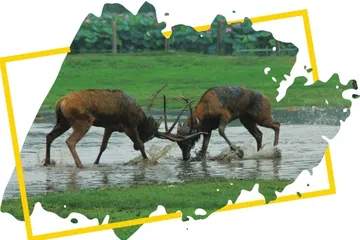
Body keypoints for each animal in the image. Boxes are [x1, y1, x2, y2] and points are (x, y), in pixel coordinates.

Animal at [43, 85, 205, 168]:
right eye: (150, 135)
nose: (134, 148)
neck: (139, 117)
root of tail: (60, 102)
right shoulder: (129, 125)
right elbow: (140, 144)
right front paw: (147, 160)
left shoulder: (110, 126)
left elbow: (103, 146)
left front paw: (96, 162)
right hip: (81, 121)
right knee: (70, 141)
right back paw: (80, 164)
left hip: (62, 121)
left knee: (49, 135)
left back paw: (47, 162)